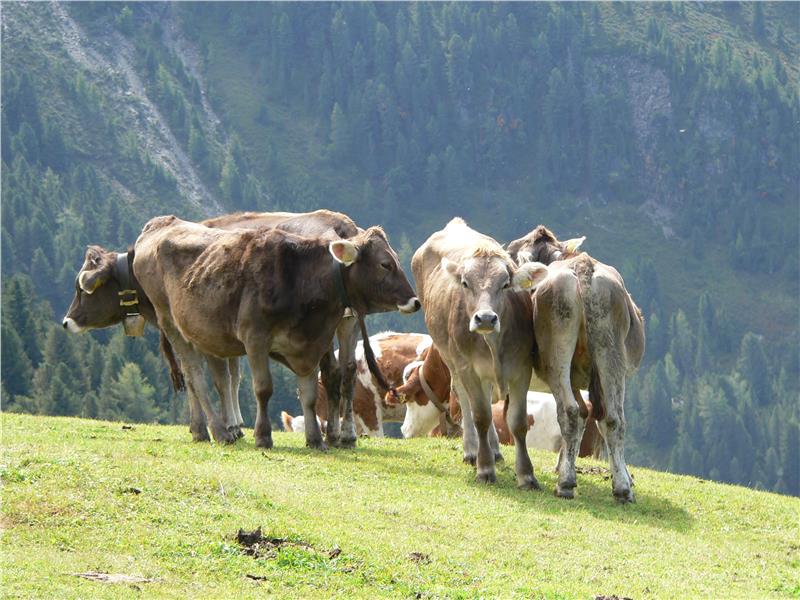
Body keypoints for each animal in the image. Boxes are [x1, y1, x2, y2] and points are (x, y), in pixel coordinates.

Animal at [132, 215, 419, 451]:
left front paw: (316, 439)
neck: (301, 277)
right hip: (169, 321)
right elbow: (263, 388)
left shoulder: (310, 345)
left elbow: (309, 394)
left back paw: (201, 430)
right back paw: (220, 431)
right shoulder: (255, 338)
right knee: (196, 377)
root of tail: (160, 224)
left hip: (201, 331)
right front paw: (263, 436)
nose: (415, 301)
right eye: (385, 264)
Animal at [411, 217, 549, 488]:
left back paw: (494, 450)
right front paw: (484, 469)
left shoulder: (521, 369)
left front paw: (526, 475)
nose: (485, 318)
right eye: (466, 283)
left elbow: (518, 422)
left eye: (505, 285)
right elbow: (481, 417)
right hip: (450, 357)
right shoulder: (469, 368)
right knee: (464, 398)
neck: (494, 344)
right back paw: (472, 451)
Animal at [508, 225, 645, 503]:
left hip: (558, 351)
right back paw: (622, 489)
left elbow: (580, 414)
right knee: (613, 419)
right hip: (610, 352)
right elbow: (588, 415)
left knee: (570, 412)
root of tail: (583, 268)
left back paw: (566, 483)